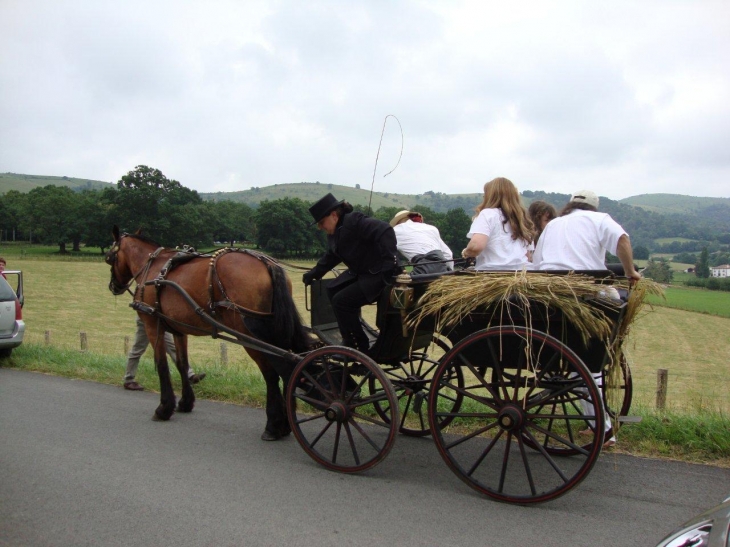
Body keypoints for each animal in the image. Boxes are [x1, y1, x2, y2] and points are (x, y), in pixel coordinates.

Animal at [104, 227, 308, 440]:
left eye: (109, 258)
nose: (113, 286)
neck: (152, 268)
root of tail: (266, 263)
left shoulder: (153, 325)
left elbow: (162, 365)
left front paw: (164, 408)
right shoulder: (179, 329)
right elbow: (182, 363)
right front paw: (185, 402)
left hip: (248, 334)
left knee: (271, 373)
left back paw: (273, 426)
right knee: (289, 368)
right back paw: (286, 422)